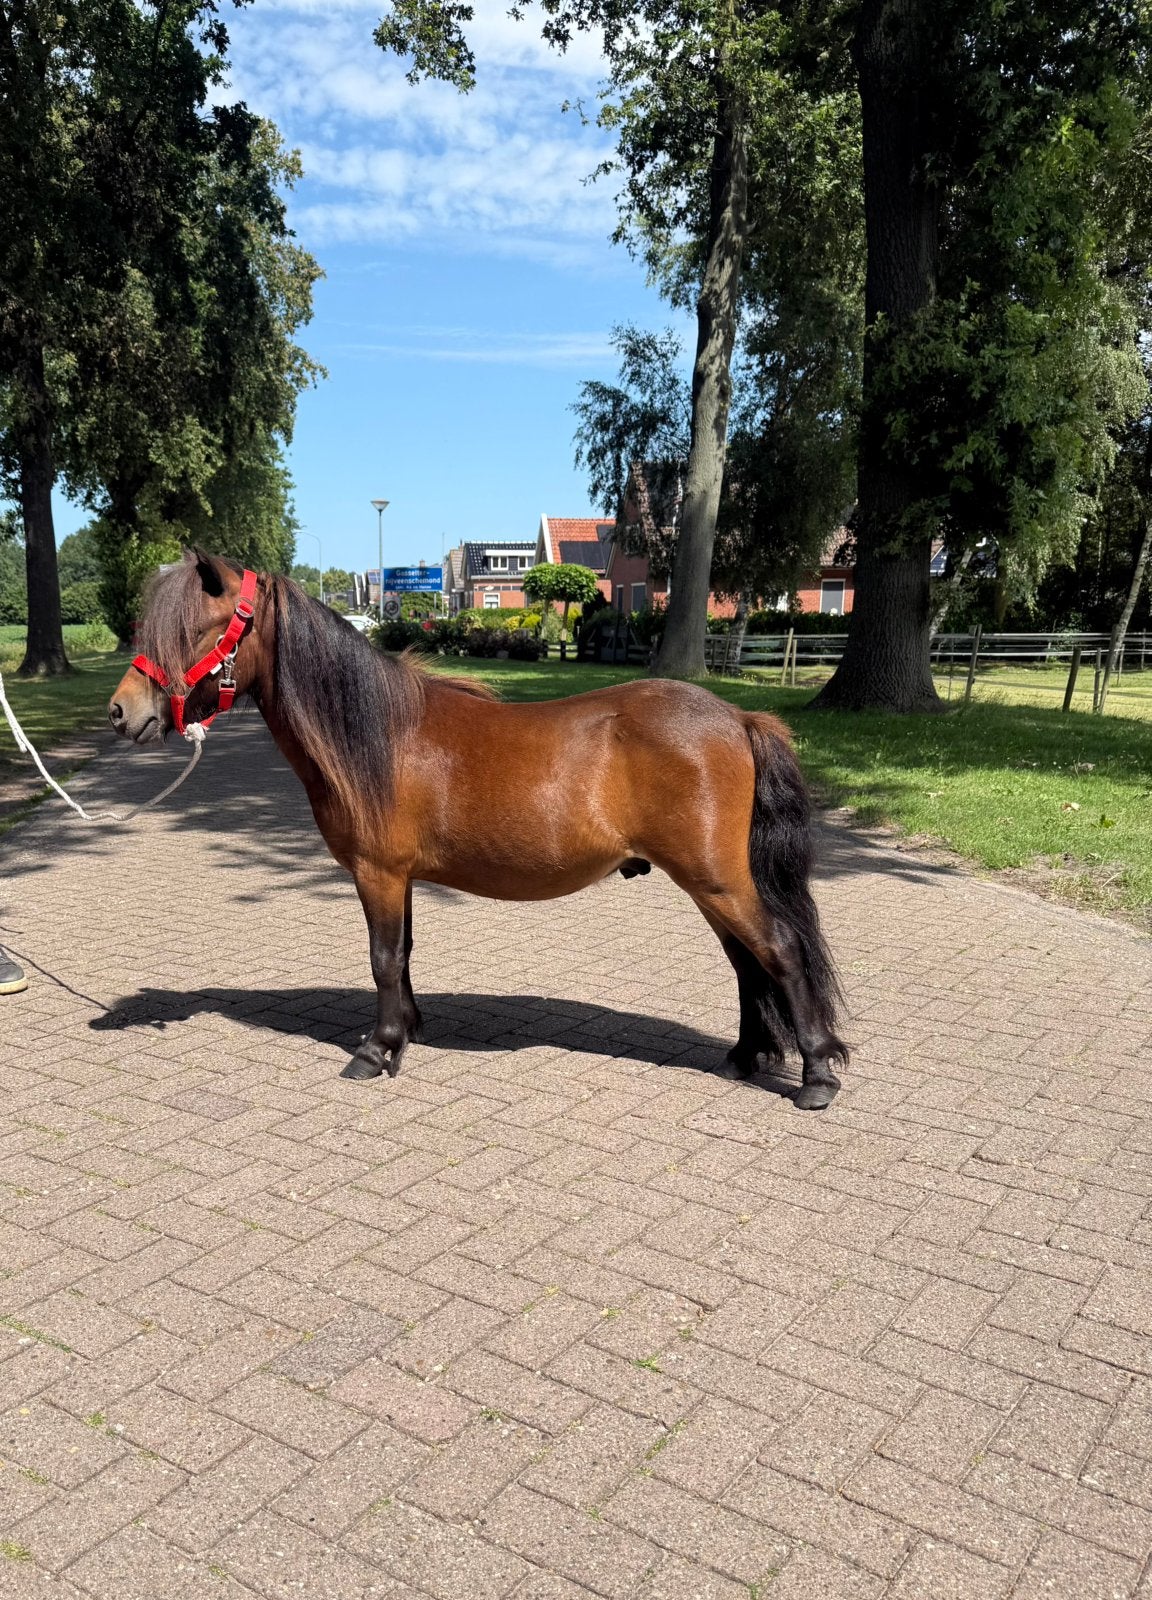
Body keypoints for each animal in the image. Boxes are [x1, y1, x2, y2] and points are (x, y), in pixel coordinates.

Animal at [108, 550, 848, 1109]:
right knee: (748, 961)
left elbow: (383, 959)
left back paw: (815, 1076)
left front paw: (376, 1050)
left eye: (196, 629)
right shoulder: (400, 877)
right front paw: (405, 1032)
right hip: (710, 884)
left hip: (716, 879)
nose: (122, 712)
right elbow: (403, 956)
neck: (377, 734)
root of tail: (738, 718)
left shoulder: (378, 873)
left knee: (779, 951)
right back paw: (746, 1056)